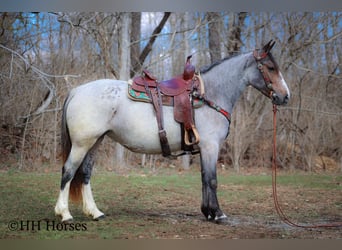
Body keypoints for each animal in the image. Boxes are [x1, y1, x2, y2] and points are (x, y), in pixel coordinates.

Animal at [54, 40, 290, 224]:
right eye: (270, 67)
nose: (285, 96)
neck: (209, 94)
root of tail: (77, 91)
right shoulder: (210, 146)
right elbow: (212, 179)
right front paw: (218, 214)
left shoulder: (205, 148)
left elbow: (204, 178)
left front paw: (208, 212)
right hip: (82, 144)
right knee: (68, 171)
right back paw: (64, 214)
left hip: (95, 142)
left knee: (85, 173)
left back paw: (95, 212)